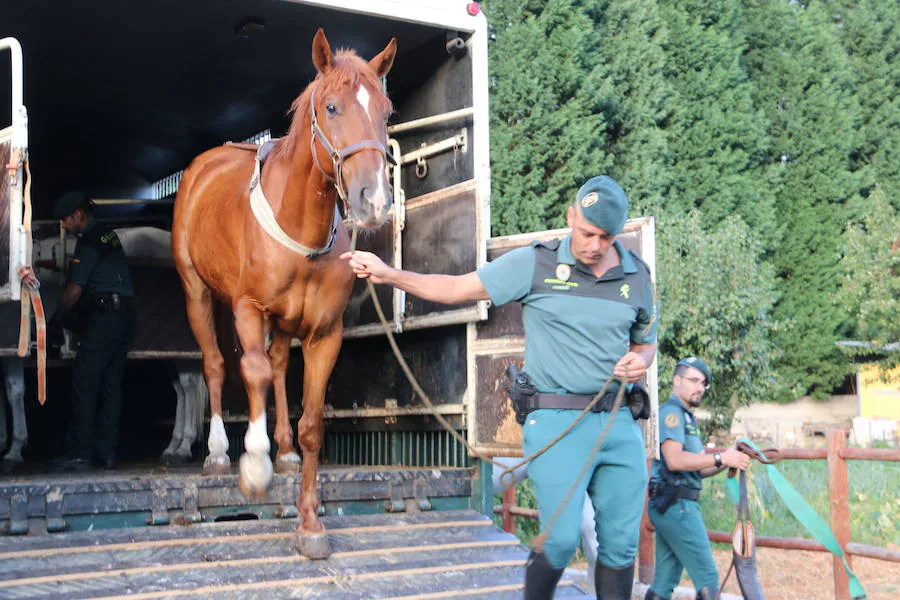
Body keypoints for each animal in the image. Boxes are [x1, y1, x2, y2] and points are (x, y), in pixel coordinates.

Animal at [171, 30, 394, 556]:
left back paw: (286, 450)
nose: (374, 201)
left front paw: (310, 522)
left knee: (274, 367)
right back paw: (217, 453)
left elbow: (312, 422)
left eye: (387, 110)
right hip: (198, 293)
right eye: (331, 107)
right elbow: (248, 371)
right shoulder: (247, 308)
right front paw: (254, 465)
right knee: (218, 365)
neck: (299, 231)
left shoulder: (324, 333)